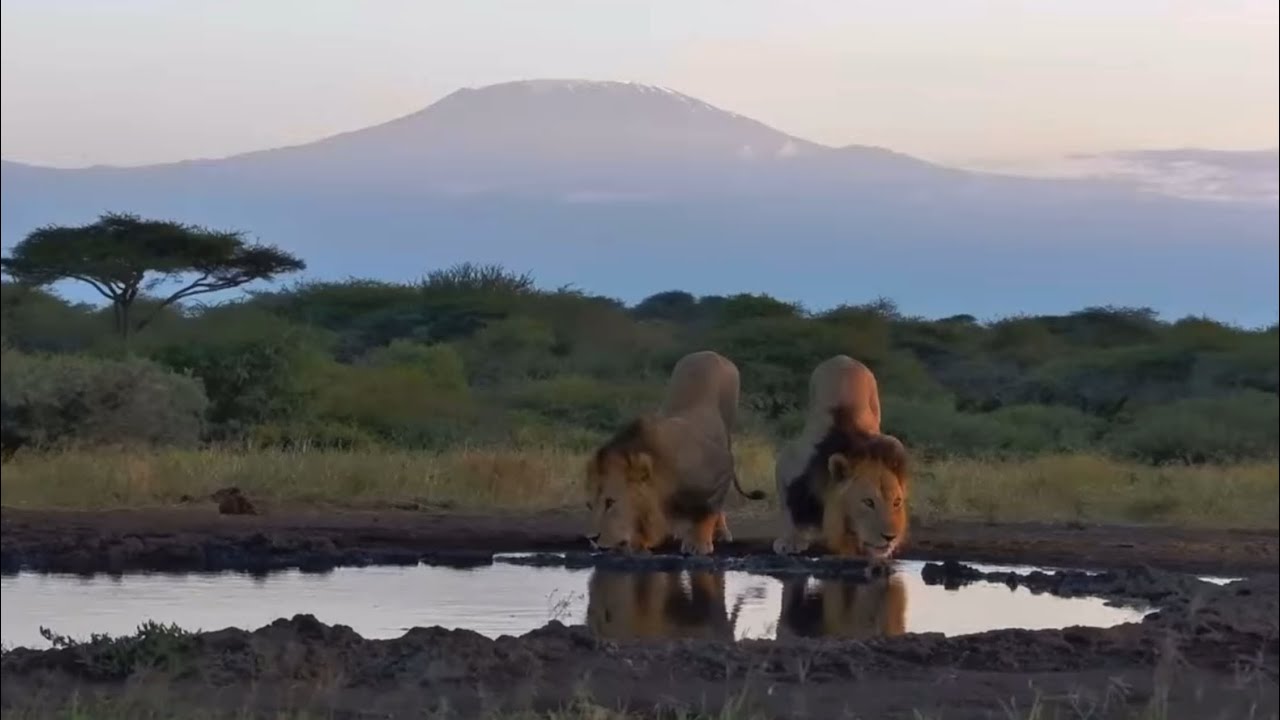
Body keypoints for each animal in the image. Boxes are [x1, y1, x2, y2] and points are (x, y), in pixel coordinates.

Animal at [585, 350, 765, 555]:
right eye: (589, 505)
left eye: (610, 502)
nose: (591, 538)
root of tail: (710, 353)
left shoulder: (723, 469)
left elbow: (708, 511)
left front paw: (698, 544)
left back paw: (720, 534)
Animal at [772, 355, 909, 561]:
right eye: (868, 502)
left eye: (896, 503)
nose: (890, 537)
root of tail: (845, 359)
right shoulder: (790, 462)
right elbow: (787, 506)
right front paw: (790, 541)